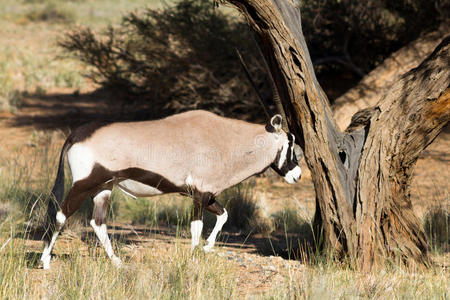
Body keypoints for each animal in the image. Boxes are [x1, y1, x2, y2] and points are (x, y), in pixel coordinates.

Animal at [40, 110, 300, 270]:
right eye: (290, 143)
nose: (297, 175)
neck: (226, 140)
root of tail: (75, 135)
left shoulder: (205, 195)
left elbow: (224, 216)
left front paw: (207, 247)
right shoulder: (200, 195)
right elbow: (196, 228)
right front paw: (195, 256)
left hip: (103, 188)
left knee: (98, 222)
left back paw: (117, 262)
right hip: (84, 184)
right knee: (61, 215)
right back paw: (45, 261)